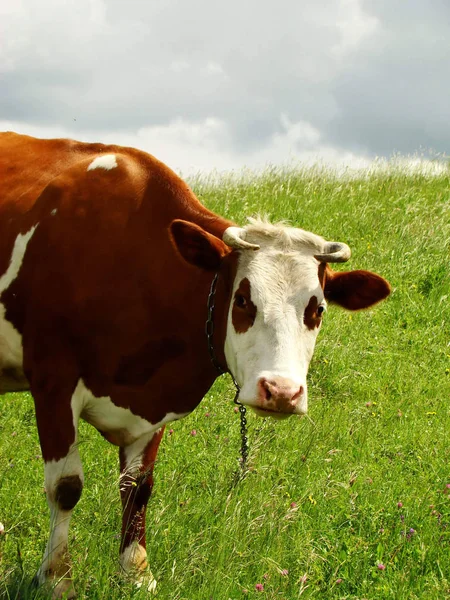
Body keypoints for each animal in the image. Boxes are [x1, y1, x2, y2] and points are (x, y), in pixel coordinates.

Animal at [0, 134, 390, 596]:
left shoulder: (152, 404)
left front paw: (137, 573)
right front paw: (57, 579)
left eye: (318, 309)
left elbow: (139, 487)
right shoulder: (53, 381)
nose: (281, 392)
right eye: (242, 299)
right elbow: (65, 487)